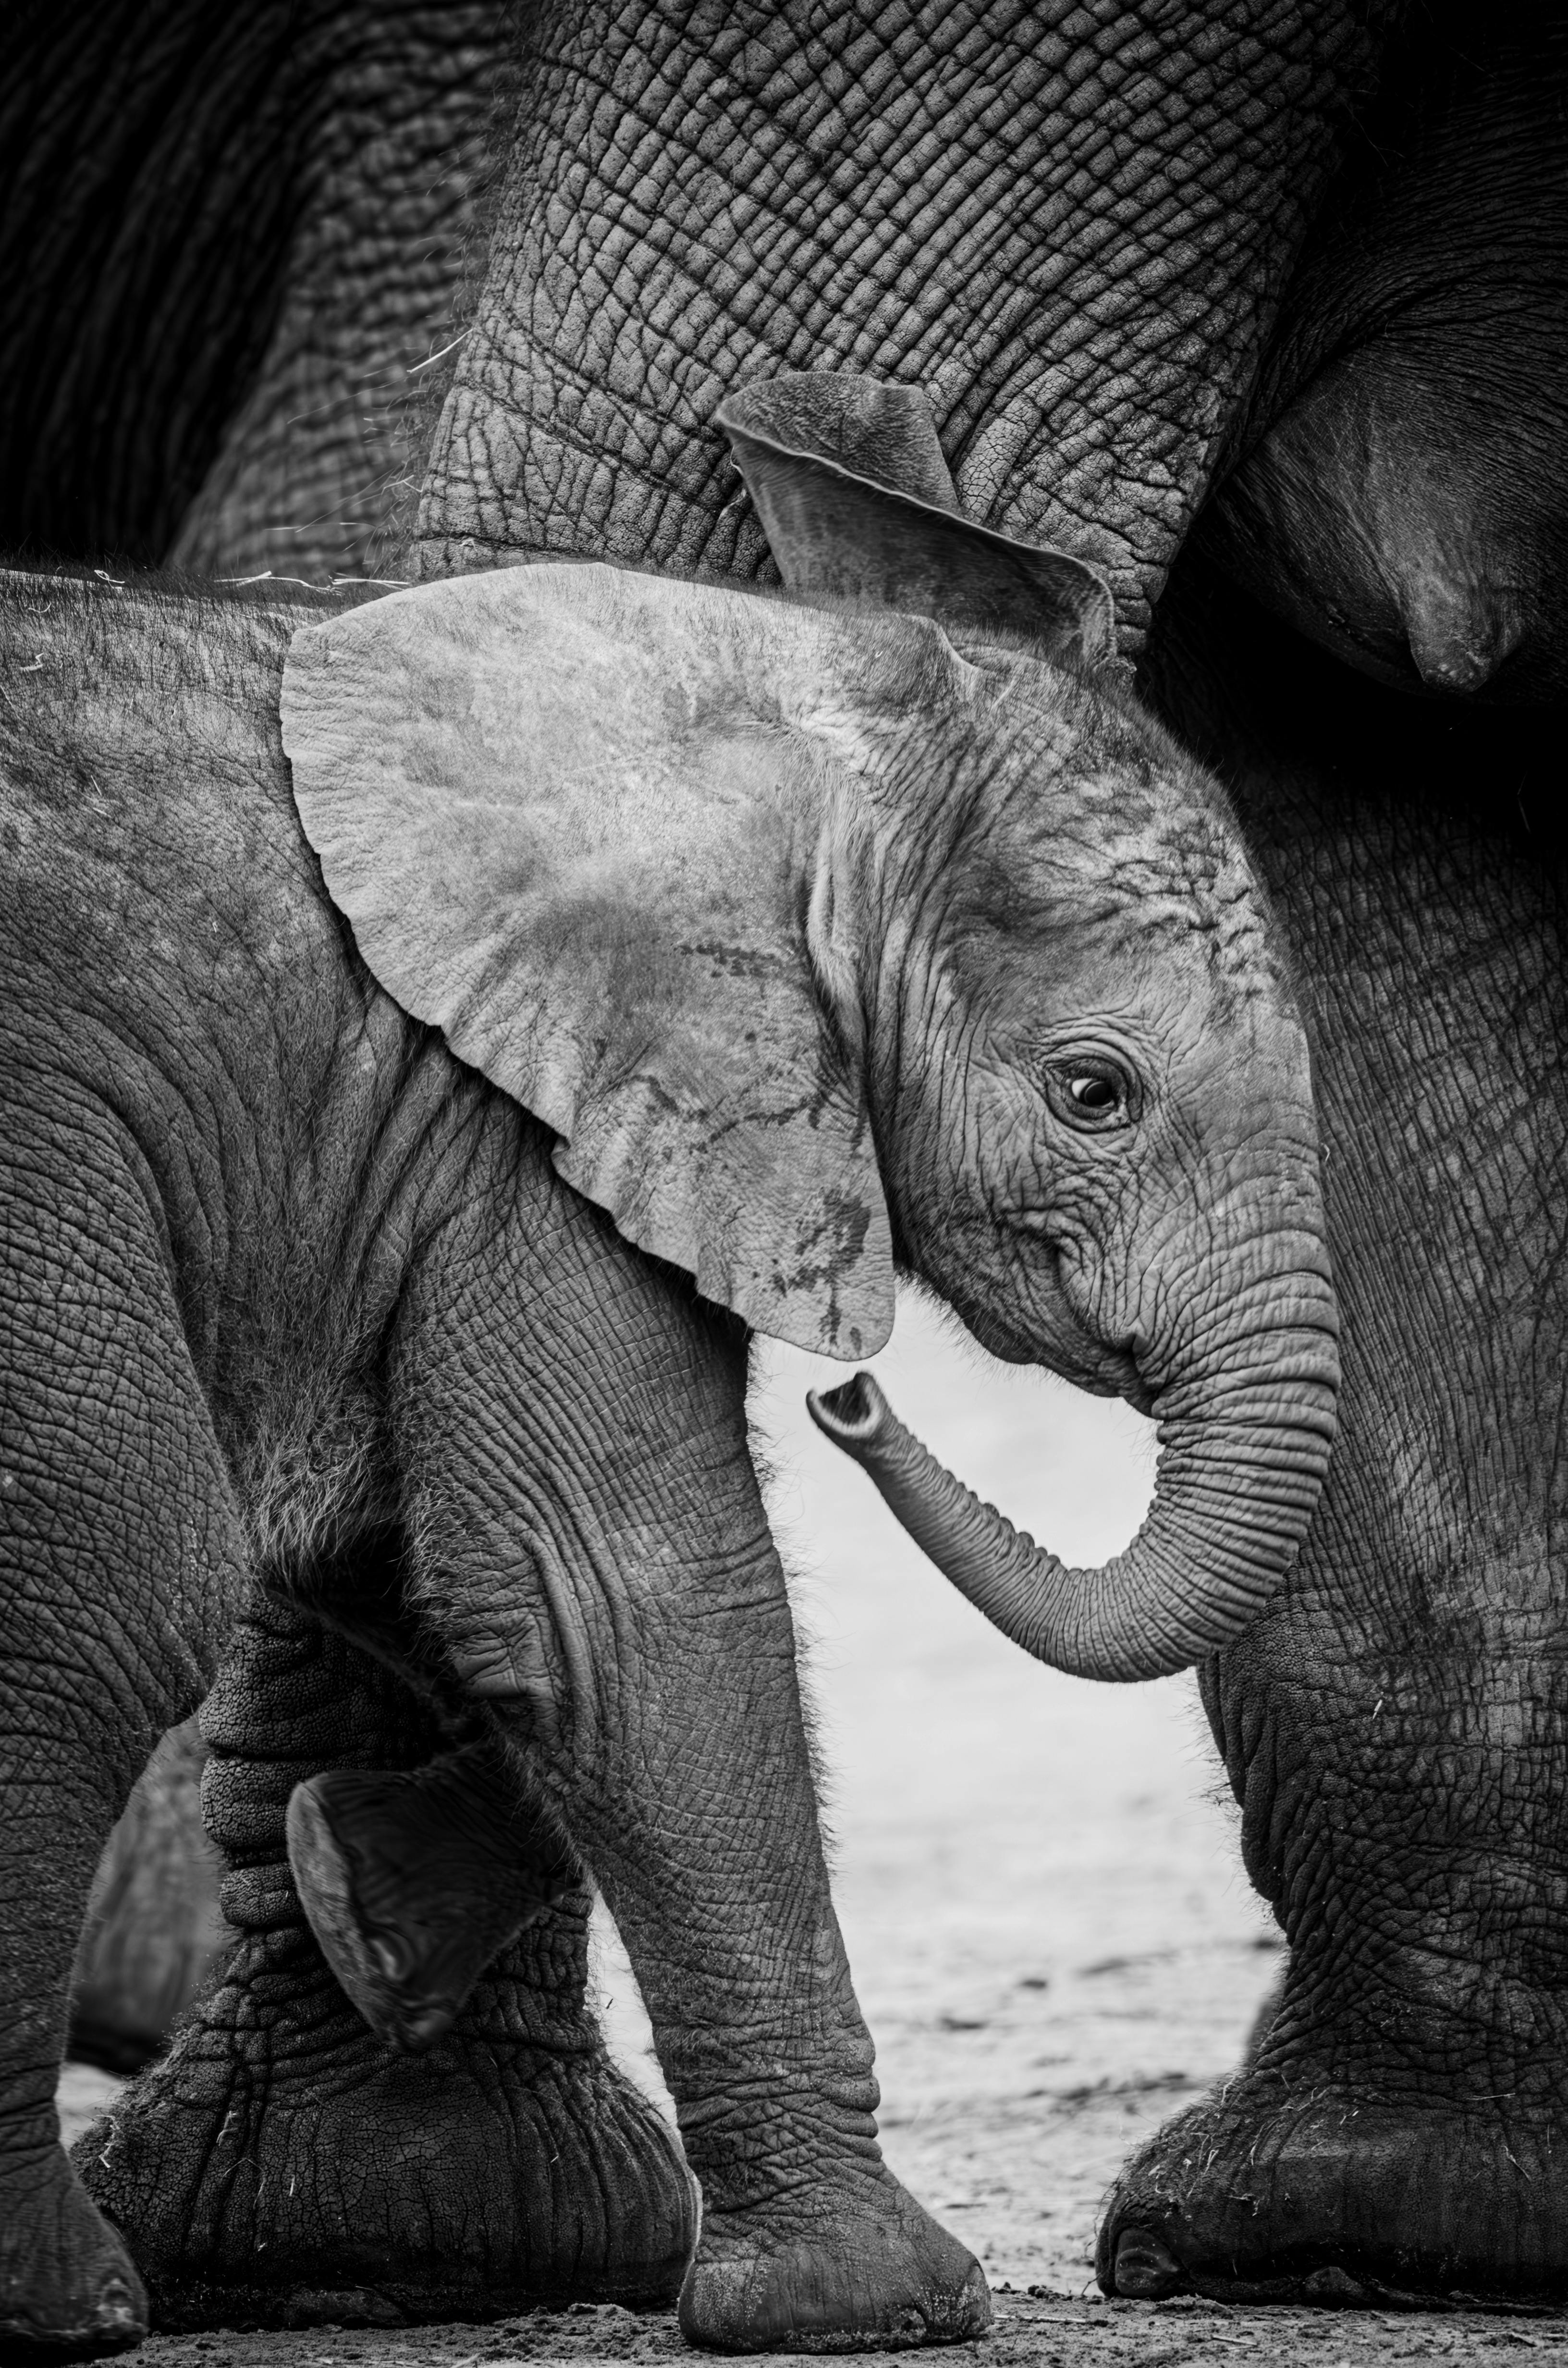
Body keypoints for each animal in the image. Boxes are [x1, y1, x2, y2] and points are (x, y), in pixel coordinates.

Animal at [0, 379, 1335, 2358]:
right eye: (1092, 1093)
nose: (853, 1396)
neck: (767, 704)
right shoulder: (511, 1116)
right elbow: (616, 1600)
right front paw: (880, 2306)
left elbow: (441, 1577)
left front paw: (362, 1884)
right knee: (95, 1592)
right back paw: (64, 2305)